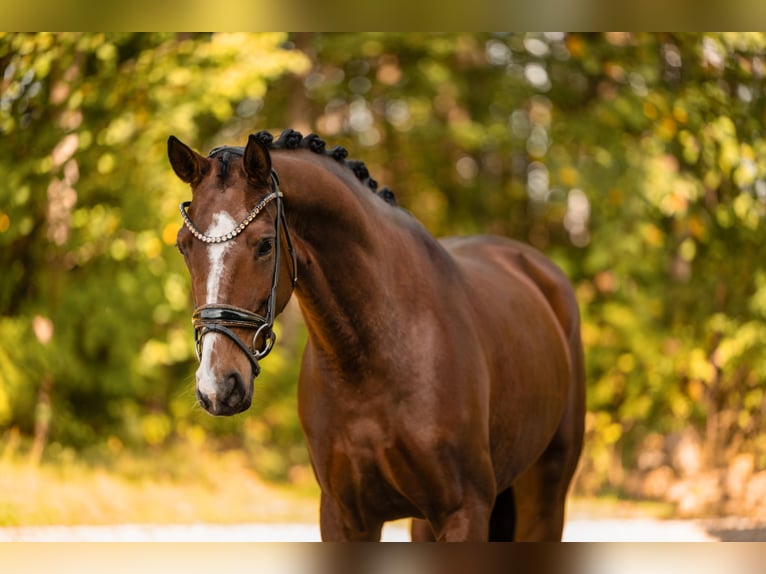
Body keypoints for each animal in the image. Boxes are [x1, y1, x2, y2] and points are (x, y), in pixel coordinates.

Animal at [168, 129, 585, 541]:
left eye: (265, 244)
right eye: (183, 246)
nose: (217, 386)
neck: (375, 360)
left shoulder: (464, 512)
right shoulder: (344, 516)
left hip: (544, 495)